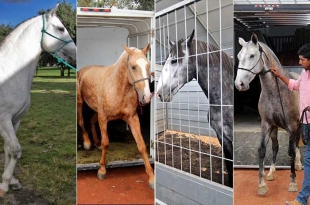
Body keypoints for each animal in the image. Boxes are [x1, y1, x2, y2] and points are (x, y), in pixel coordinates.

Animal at [0, 4, 76, 197]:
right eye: (61, 28)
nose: (75, 53)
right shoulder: (3, 119)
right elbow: (15, 150)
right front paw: (4, 185)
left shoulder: (15, 120)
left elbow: (8, 150)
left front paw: (11, 181)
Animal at [77, 43, 155, 189]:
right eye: (133, 67)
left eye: (148, 66)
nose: (146, 97)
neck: (118, 87)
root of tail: (83, 70)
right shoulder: (103, 118)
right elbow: (106, 142)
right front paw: (102, 170)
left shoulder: (132, 118)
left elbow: (141, 145)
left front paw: (152, 178)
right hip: (80, 102)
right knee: (81, 121)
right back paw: (87, 143)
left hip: (96, 110)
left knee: (91, 122)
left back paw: (96, 143)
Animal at [236, 33, 302, 194]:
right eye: (239, 56)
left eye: (252, 55)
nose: (239, 84)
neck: (276, 91)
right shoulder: (266, 124)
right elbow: (263, 150)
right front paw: (262, 183)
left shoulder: (291, 125)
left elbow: (291, 151)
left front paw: (293, 181)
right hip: (275, 128)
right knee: (276, 146)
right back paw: (272, 171)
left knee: (296, 143)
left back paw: (298, 164)